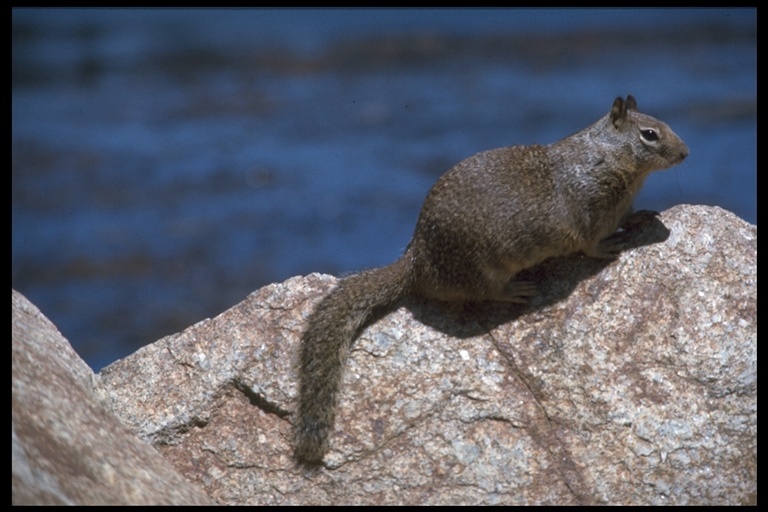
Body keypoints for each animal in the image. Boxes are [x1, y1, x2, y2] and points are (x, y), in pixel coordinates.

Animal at [294, 96, 688, 464]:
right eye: (649, 134)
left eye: (663, 124)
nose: (685, 153)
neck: (610, 157)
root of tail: (417, 261)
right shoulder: (589, 212)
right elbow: (591, 243)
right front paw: (610, 246)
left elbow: (628, 215)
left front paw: (642, 216)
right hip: (483, 268)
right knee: (486, 293)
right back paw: (517, 289)